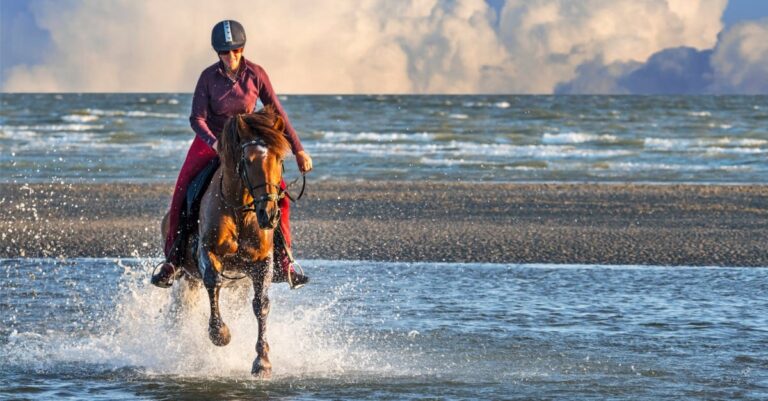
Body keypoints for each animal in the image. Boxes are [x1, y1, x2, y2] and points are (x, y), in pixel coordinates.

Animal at [160, 105, 291, 378]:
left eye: (280, 160)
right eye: (248, 161)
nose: (269, 214)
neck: (239, 209)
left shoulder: (262, 262)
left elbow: (261, 305)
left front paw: (262, 362)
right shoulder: (207, 253)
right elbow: (213, 282)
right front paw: (220, 334)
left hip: (237, 283)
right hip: (185, 274)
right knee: (182, 307)